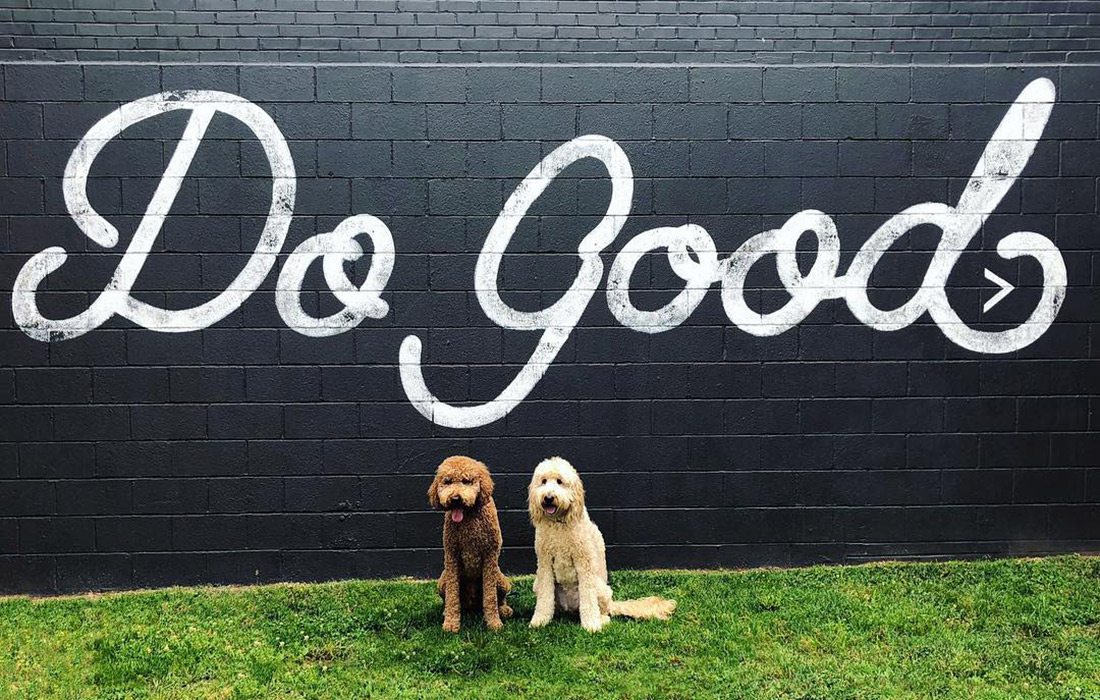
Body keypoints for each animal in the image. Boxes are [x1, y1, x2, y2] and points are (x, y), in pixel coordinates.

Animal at [429, 455, 514, 629]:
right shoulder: (452, 556)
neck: (469, 516)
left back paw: (503, 610)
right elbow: (452, 596)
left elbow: (490, 596)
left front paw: (494, 623)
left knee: (500, 597)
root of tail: (472, 604)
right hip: (442, 581)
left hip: (501, 580)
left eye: (466, 481)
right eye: (447, 481)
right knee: (448, 598)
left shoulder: (490, 556)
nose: (455, 499)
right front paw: (451, 623)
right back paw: (446, 612)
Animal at [528, 455, 673, 629]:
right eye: (543, 481)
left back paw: (601, 619)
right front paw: (539, 620)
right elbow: (545, 597)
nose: (548, 498)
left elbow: (588, 599)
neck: (559, 524)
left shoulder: (584, 562)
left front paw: (591, 625)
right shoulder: (544, 563)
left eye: (559, 481)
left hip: (601, 588)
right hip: (537, 584)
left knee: (603, 610)